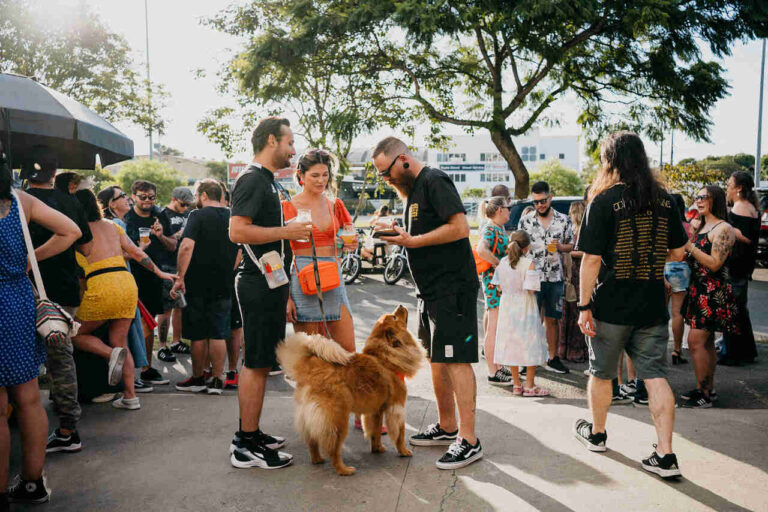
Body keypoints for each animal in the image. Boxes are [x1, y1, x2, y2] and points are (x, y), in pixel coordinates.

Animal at [278, 304, 426, 476]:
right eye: (394, 317)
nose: (401, 306)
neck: (384, 357)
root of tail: (310, 366)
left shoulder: (375, 411)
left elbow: (375, 431)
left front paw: (378, 448)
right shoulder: (397, 406)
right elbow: (400, 433)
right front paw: (403, 451)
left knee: (312, 442)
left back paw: (318, 459)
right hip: (338, 420)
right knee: (333, 449)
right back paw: (344, 470)